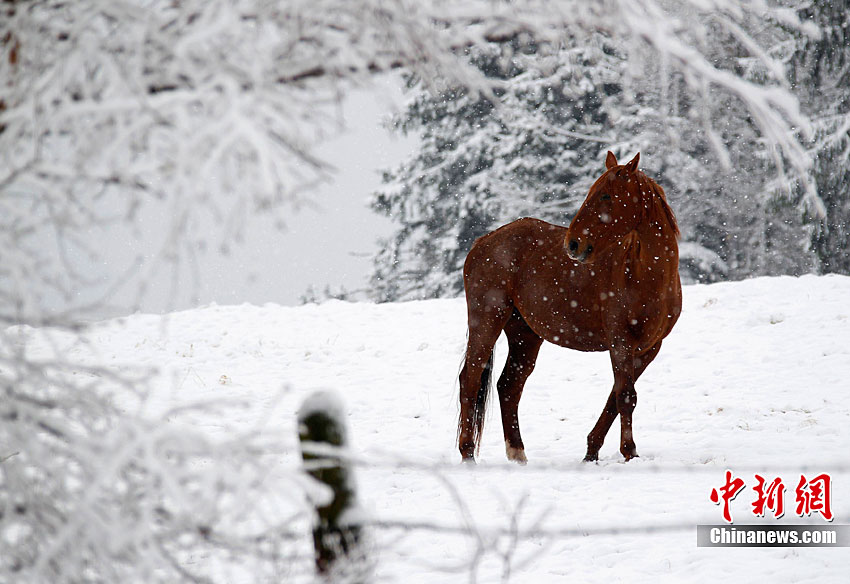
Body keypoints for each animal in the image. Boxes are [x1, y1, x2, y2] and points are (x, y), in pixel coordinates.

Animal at [457, 151, 681, 464]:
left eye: (606, 196)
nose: (574, 244)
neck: (644, 273)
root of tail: (483, 242)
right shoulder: (620, 342)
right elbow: (625, 396)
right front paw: (629, 451)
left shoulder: (649, 348)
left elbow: (615, 398)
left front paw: (592, 450)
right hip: (487, 320)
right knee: (471, 379)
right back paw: (468, 453)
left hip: (524, 335)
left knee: (509, 386)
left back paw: (518, 452)